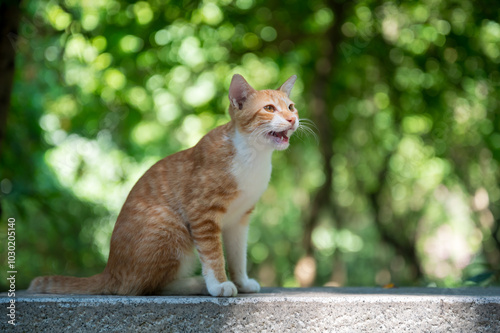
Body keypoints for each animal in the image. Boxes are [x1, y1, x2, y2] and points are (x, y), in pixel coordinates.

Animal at [28, 73, 300, 296]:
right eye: (269, 108)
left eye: (291, 107)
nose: (292, 119)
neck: (253, 156)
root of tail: (109, 271)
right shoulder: (202, 214)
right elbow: (214, 255)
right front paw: (218, 284)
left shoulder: (240, 219)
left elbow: (237, 255)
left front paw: (241, 282)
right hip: (169, 225)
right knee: (142, 287)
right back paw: (197, 284)